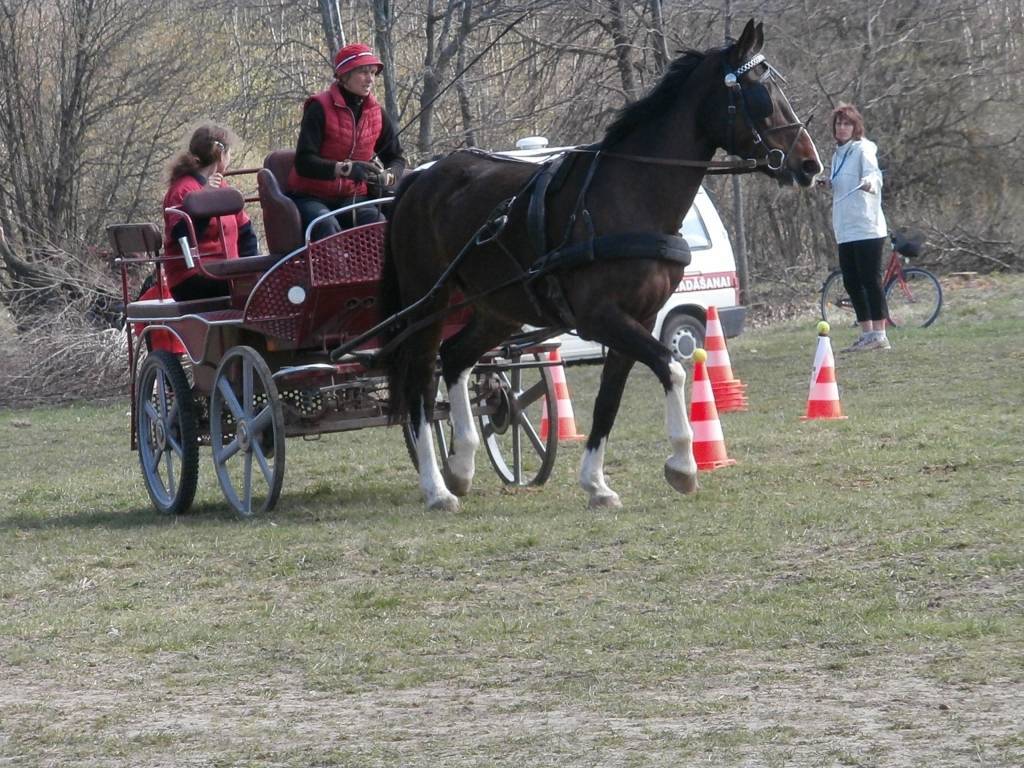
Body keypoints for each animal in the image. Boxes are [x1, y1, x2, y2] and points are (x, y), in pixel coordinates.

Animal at [380, 19, 819, 512]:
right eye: (761, 95)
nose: (810, 164)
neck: (631, 195)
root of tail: (421, 178)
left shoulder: (640, 317)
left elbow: (610, 395)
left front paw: (596, 483)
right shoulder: (600, 317)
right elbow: (672, 367)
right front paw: (683, 465)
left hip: (498, 309)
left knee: (456, 358)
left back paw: (461, 464)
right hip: (427, 302)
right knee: (421, 378)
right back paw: (436, 486)